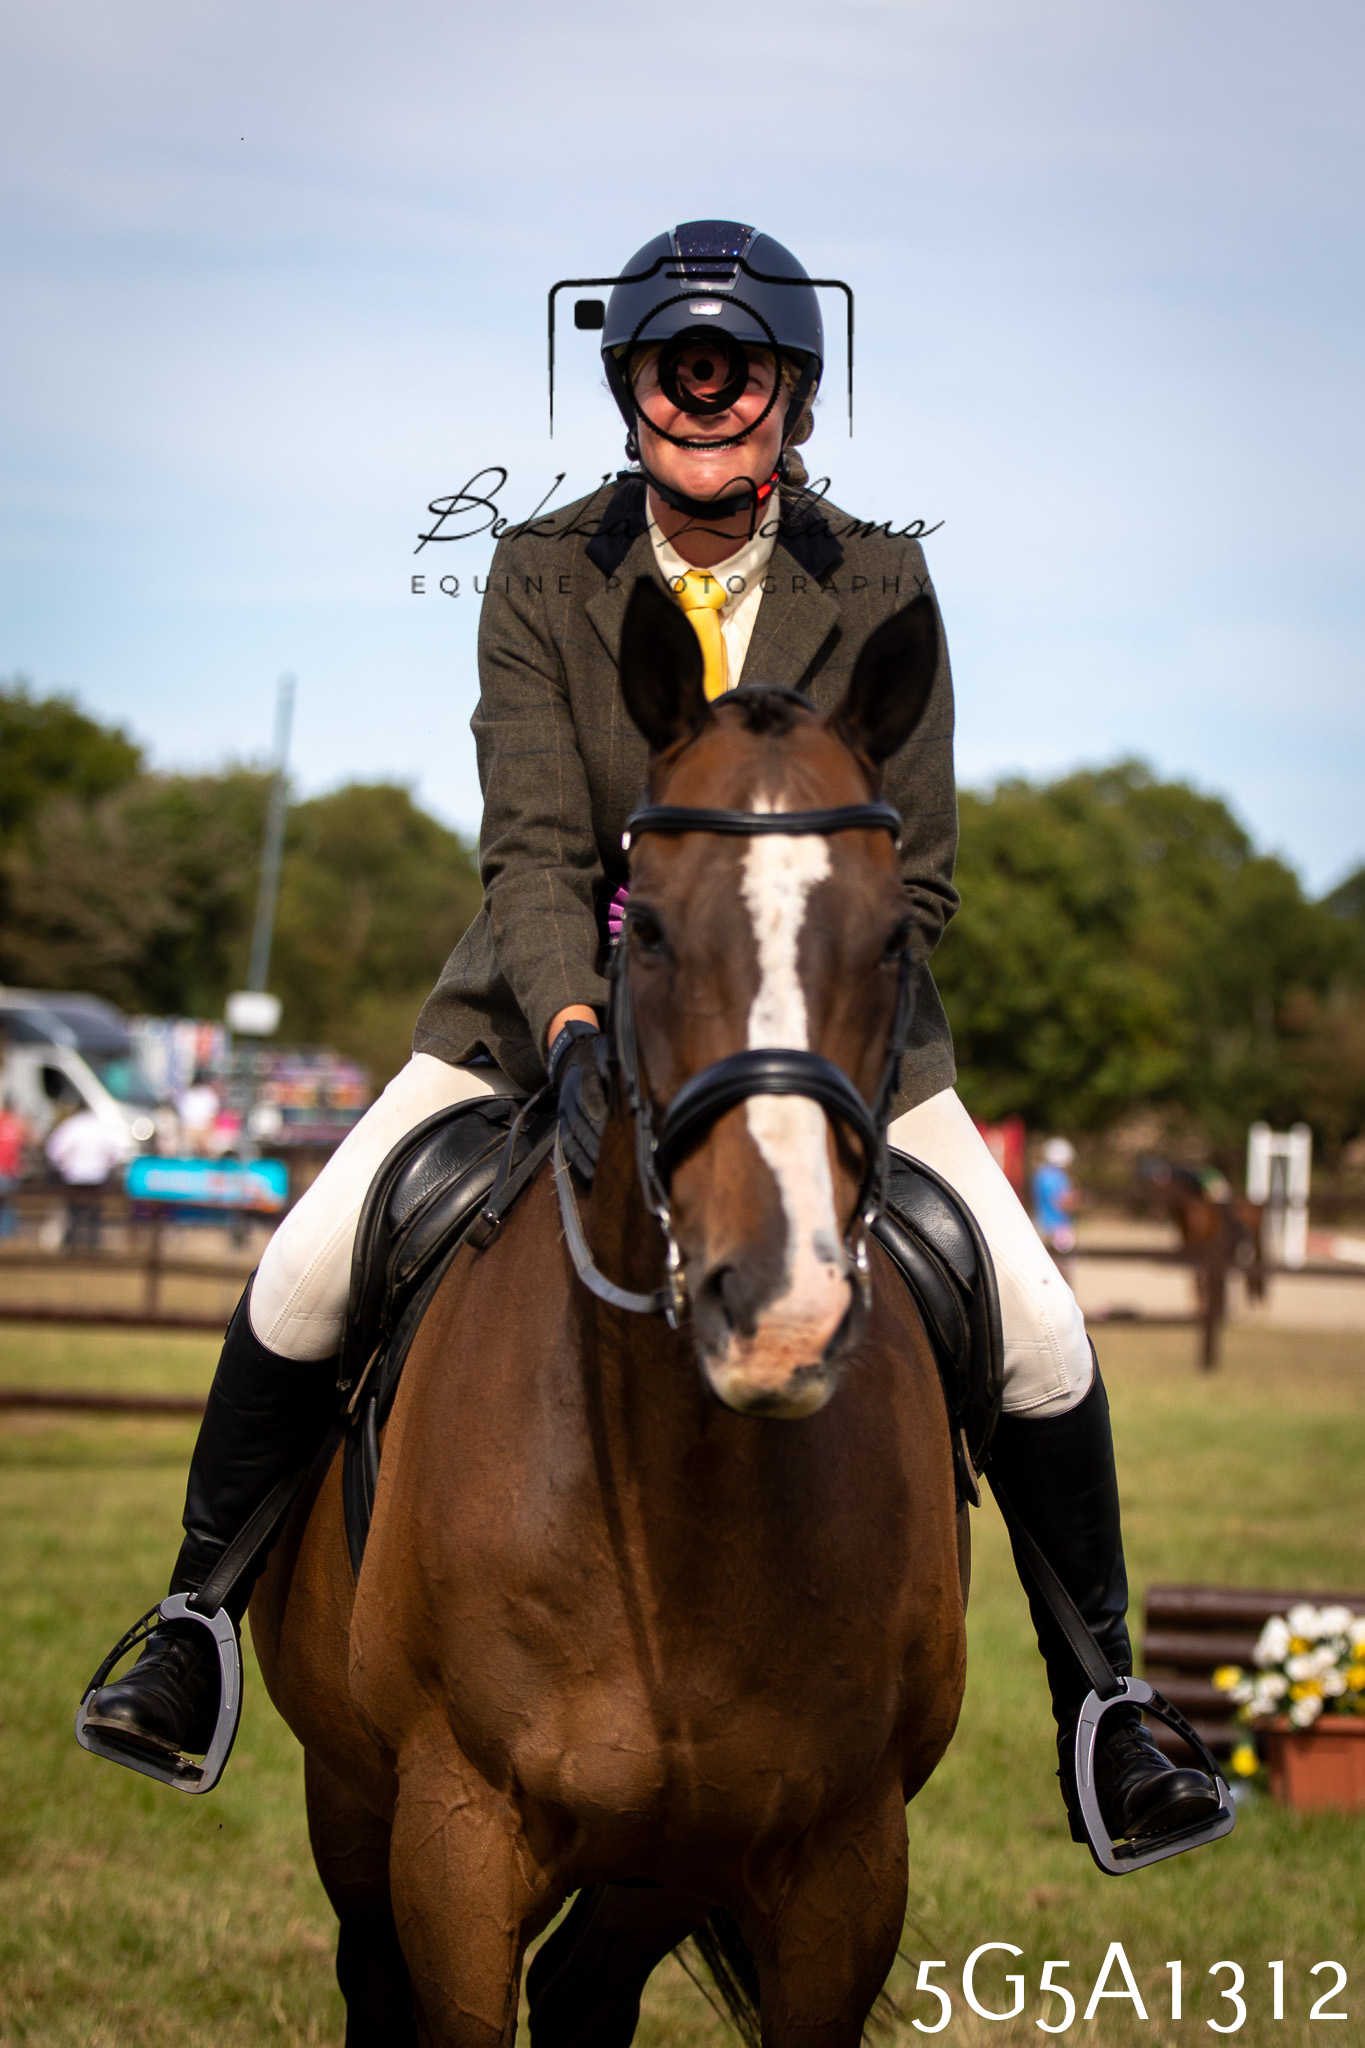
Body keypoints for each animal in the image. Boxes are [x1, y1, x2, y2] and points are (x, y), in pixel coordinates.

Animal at [250, 579, 968, 2048]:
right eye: (661, 930)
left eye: (891, 940)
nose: (779, 1314)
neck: (680, 1505)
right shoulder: (453, 1839)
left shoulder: (840, 1867)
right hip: (350, 1792)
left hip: (660, 1857)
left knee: (586, 1989)